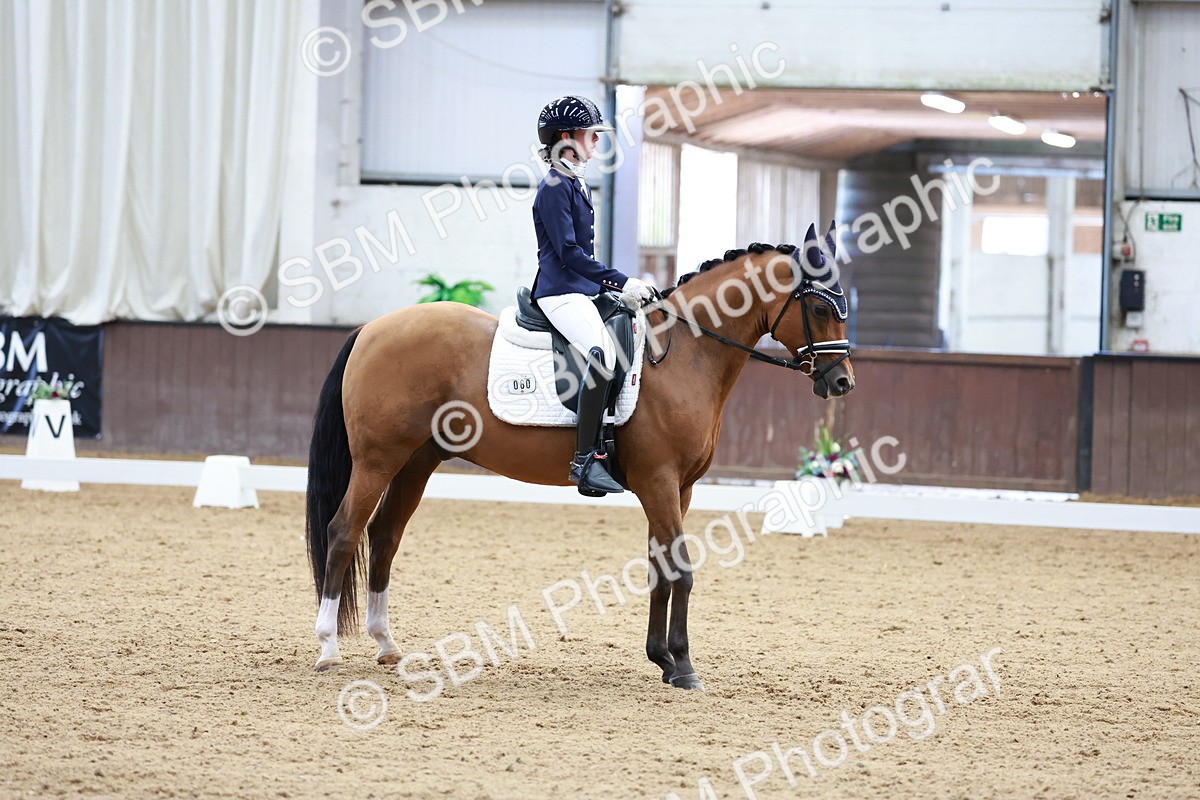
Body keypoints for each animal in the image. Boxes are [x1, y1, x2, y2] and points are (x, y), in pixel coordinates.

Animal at [305, 224, 855, 691]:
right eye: (820, 308)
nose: (842, 382)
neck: (684, 354)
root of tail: (371, 328)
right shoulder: (659, 480)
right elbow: (681, 568)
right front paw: (684, 667)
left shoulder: (678, 488)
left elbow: (659, 566)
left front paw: (662, 658)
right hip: (377, 460)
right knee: (344, 532)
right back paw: (329, 649)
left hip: (416, 462)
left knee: (384, 537)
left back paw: (386, 644)